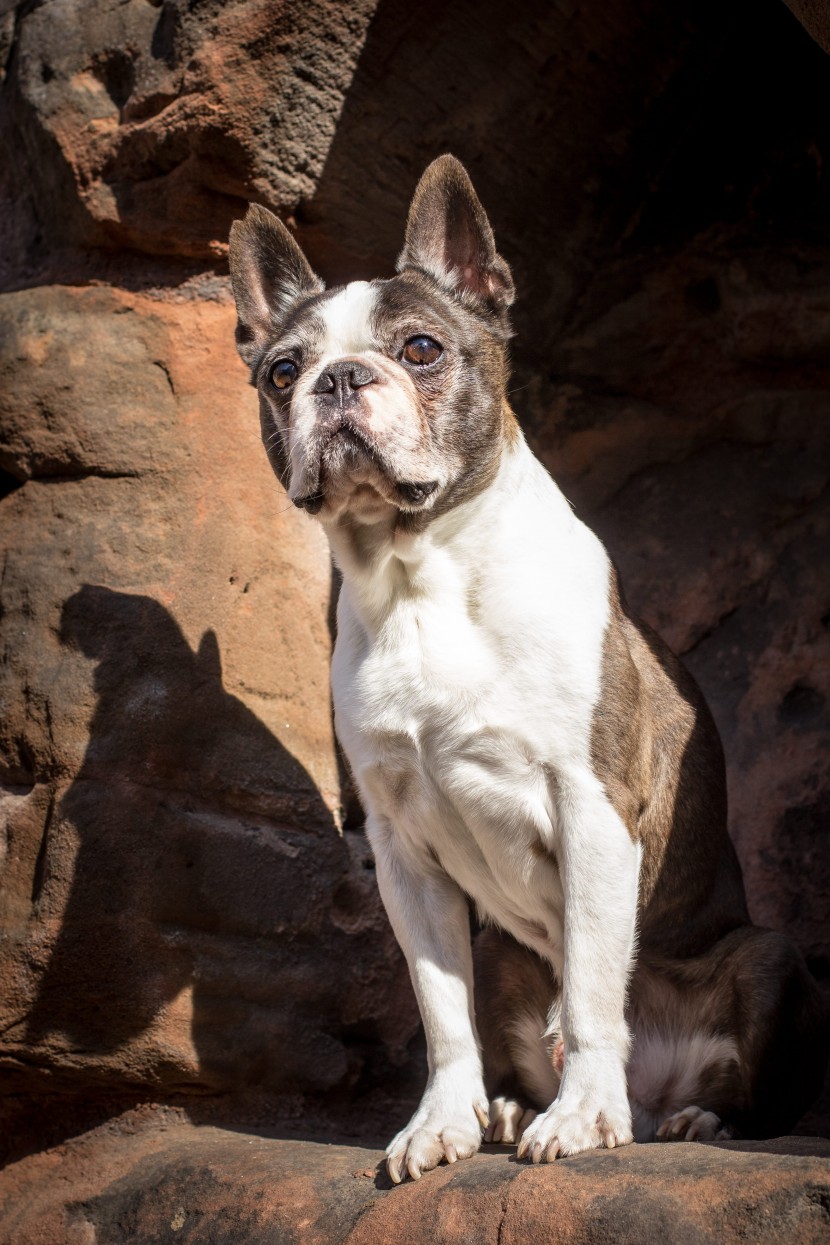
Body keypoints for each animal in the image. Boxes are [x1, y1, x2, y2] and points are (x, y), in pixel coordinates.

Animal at [225, 150, 826, 1180]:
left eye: (422, 349)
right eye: (283, 370)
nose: (340, 378)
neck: (419, 578)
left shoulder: (592, 807)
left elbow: (589, 988)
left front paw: (582, 1117)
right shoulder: (403, 852)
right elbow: (442, 1013)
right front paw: (442, 1124)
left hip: (768, 955)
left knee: (736, 1085)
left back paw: (683, 1116)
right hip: (506, 949)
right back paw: (513, 1108)